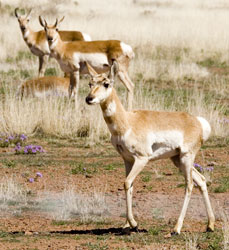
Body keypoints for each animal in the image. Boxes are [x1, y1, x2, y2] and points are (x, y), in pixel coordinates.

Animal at [85, 60, 215, 234]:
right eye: (90, 83)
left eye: (106, 84)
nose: (89, 98)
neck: (127, 122)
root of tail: (197, 121)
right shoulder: (127, 160)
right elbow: (129, 185)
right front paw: (126, 225)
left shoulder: (141, 158)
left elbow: (127, 183)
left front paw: (134, 223)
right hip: (177, 160)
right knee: (201, 180)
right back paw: (210, 225)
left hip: (186, 158)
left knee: (189, 185)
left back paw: (176, 228)